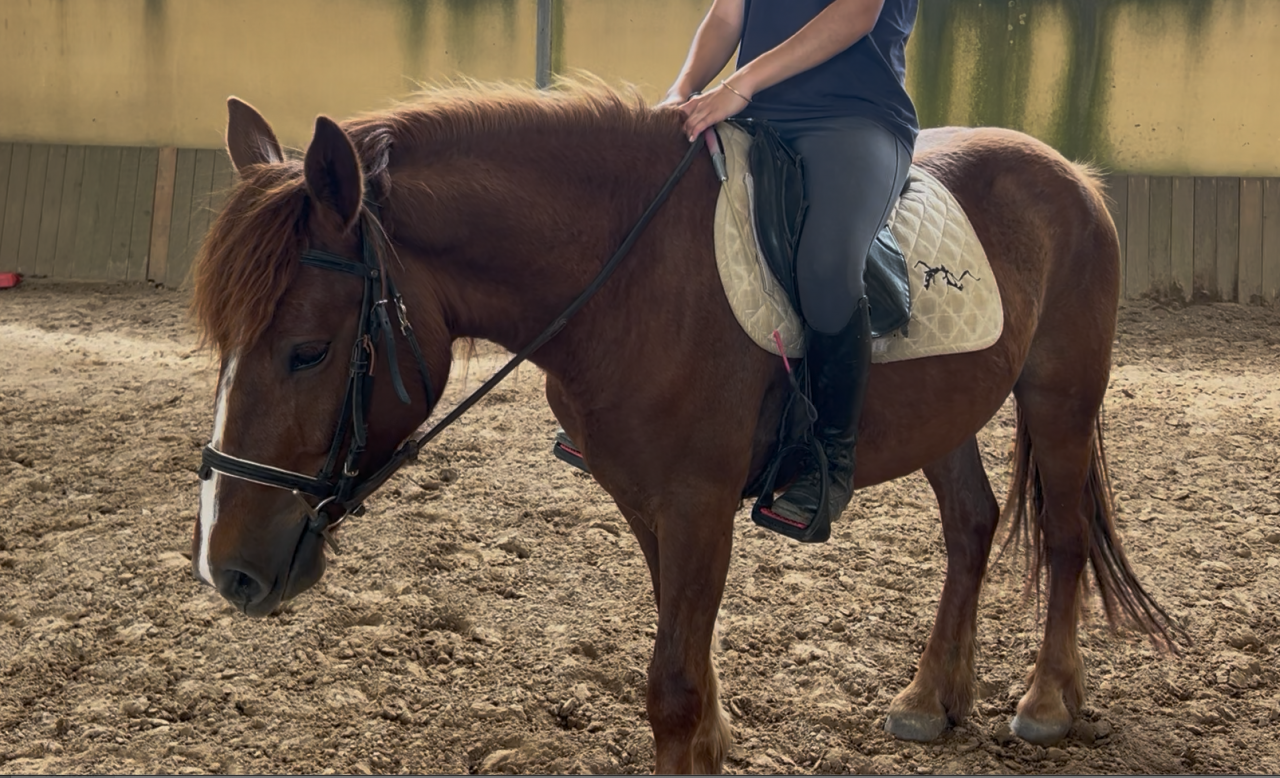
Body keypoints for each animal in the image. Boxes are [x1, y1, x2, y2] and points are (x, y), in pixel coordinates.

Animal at [189, 82, 1175, 774]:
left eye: (309, 352)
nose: (229, 572)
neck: (628, 279)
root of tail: (1071, 174)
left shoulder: (698, 501)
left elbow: (671, 685)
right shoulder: (643, 497)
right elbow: (684, 653)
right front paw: (713, 742)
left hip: (1060, 396)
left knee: (1063, 535)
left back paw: (1048, 702)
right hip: (951, 410)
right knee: (971, 527)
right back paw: (933, 696)